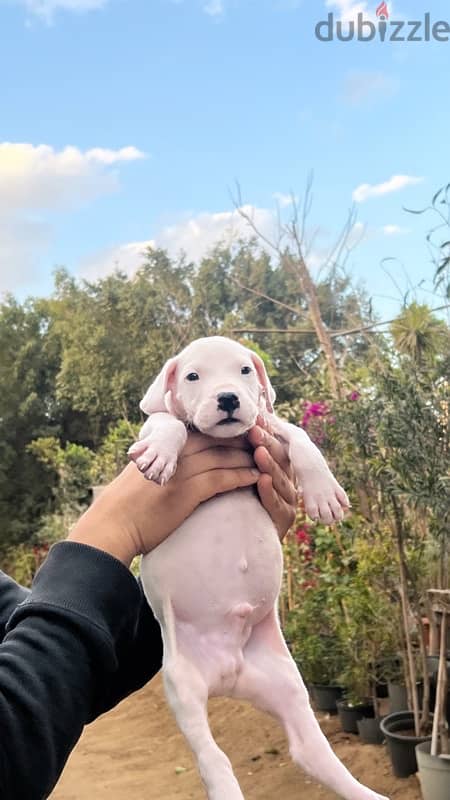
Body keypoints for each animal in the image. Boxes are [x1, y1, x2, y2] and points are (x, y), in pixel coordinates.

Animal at [128, 338, 388, 800]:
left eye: (245, 370)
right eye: (192, 376)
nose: (229, 398)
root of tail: (228, 672)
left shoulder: (267, 426)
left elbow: (299, 435)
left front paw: (323, 492)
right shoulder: (156, 424)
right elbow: (168, 423)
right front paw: (161, 453)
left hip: (287, 685)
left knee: (311, 752)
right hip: (182, 687)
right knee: (211, 756)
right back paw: (224, 786)